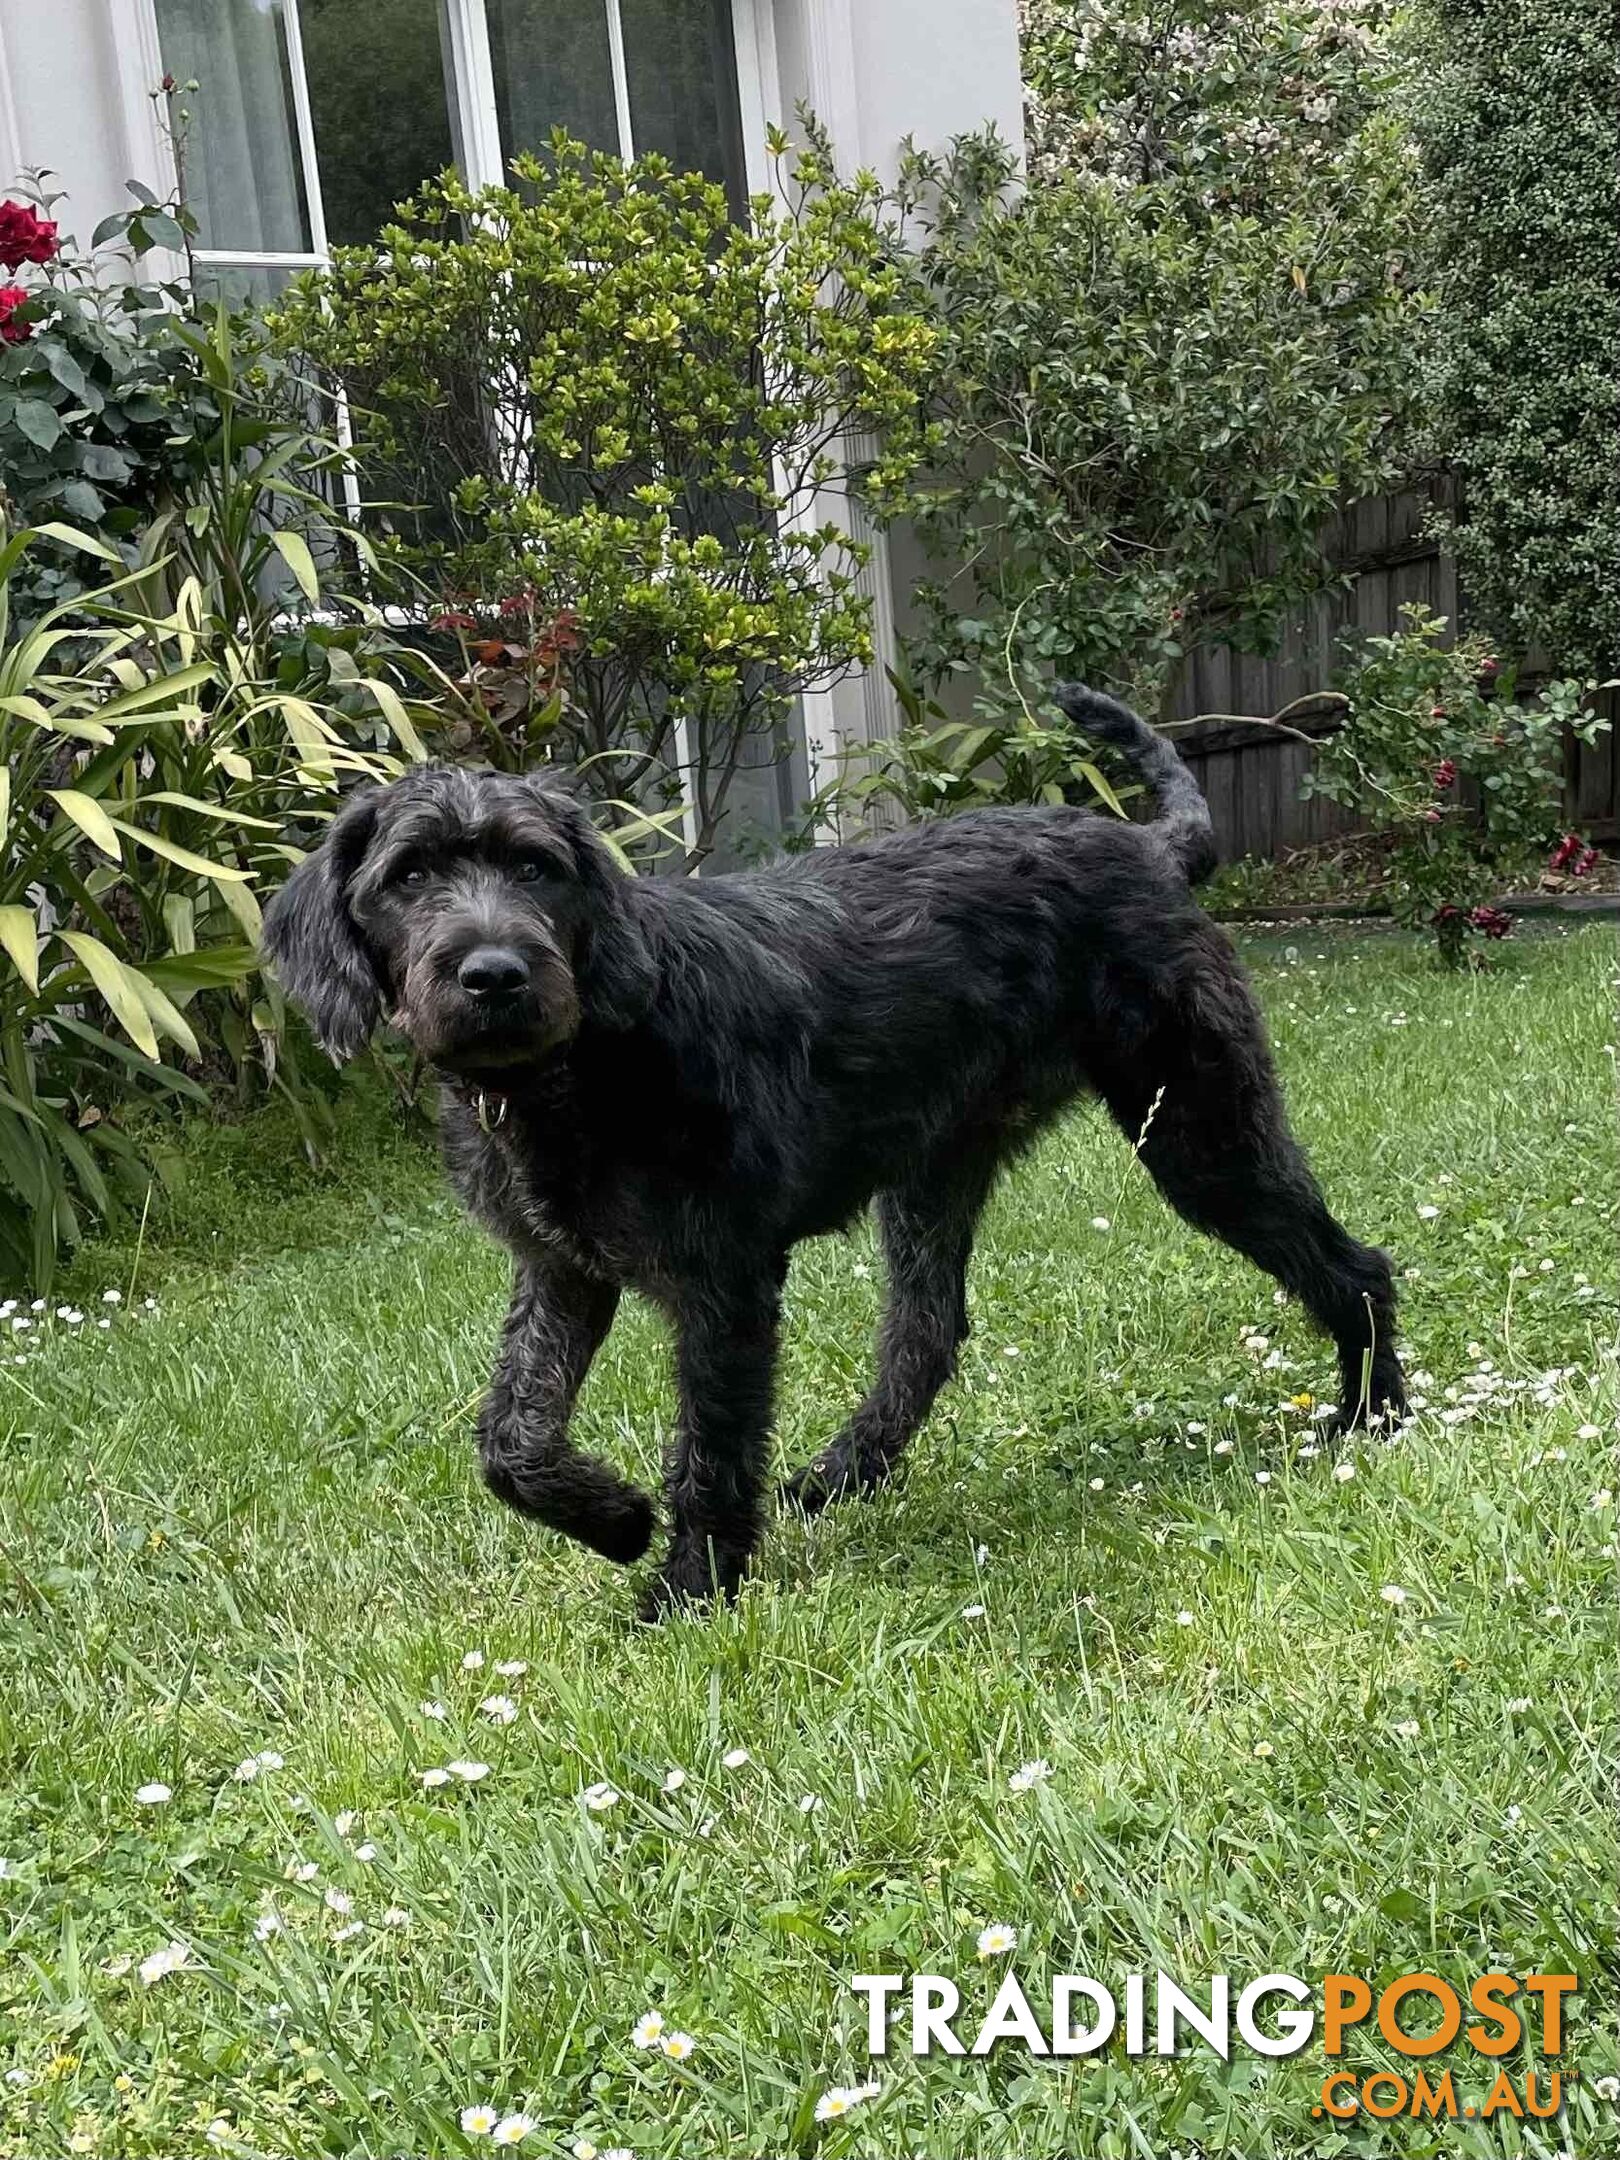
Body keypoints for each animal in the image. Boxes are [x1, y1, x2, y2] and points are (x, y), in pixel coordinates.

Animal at [263, 682, 1408, 1615]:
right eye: (410, 875)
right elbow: (511, 1440)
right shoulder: (562, 1271)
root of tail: (1147, 850)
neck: (581, 1059)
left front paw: (691, 1589)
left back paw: (1373, 1416)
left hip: (1201, 1134)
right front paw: (616, 1521)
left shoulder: (723, 1282)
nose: (495, 974)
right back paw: (842, 1473)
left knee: (1353, 1267)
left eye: (537, 868)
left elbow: (711, 1447)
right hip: (939, 1171)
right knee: (927, 1330)